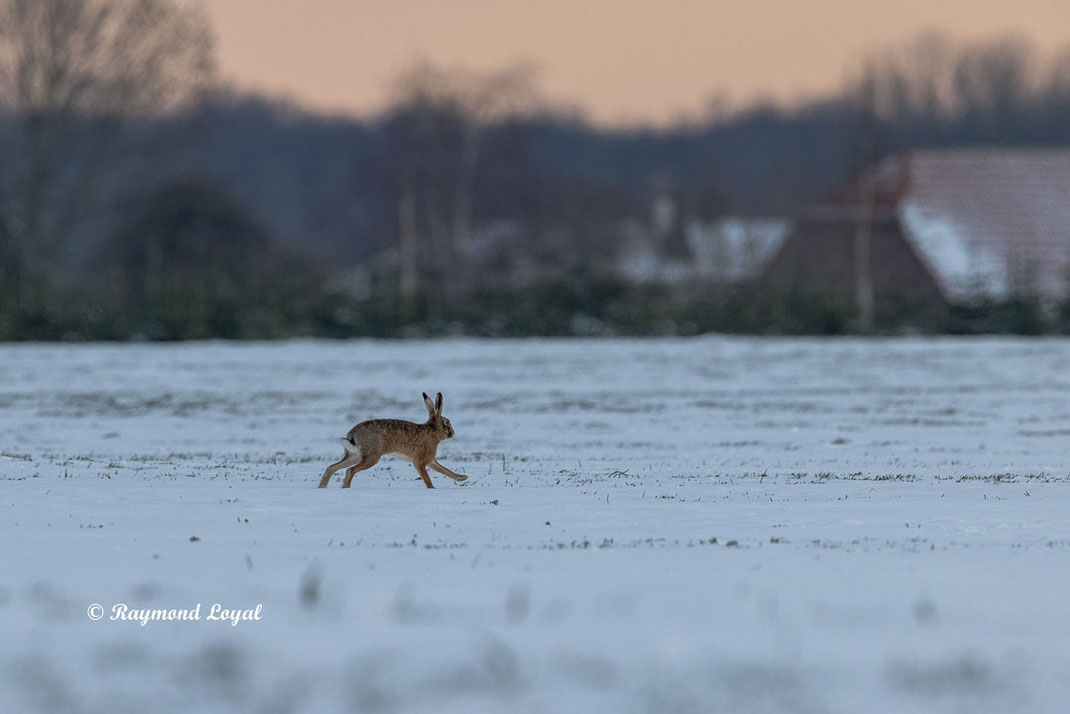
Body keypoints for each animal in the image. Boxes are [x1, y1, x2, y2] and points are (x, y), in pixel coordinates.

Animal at [318, 392, 468, 489]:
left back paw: (322, 487)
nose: (452, 433)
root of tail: (352, 435)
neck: (433, 431)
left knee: (332, 467)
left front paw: (462, 477)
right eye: (446, 423)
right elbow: (427, 477)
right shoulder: (420, 461)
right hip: (372, 456)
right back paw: (345, 488)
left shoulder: (430, 460)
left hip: (355, 455)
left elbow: (444, 470)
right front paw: (432, 489)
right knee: (350, 470)